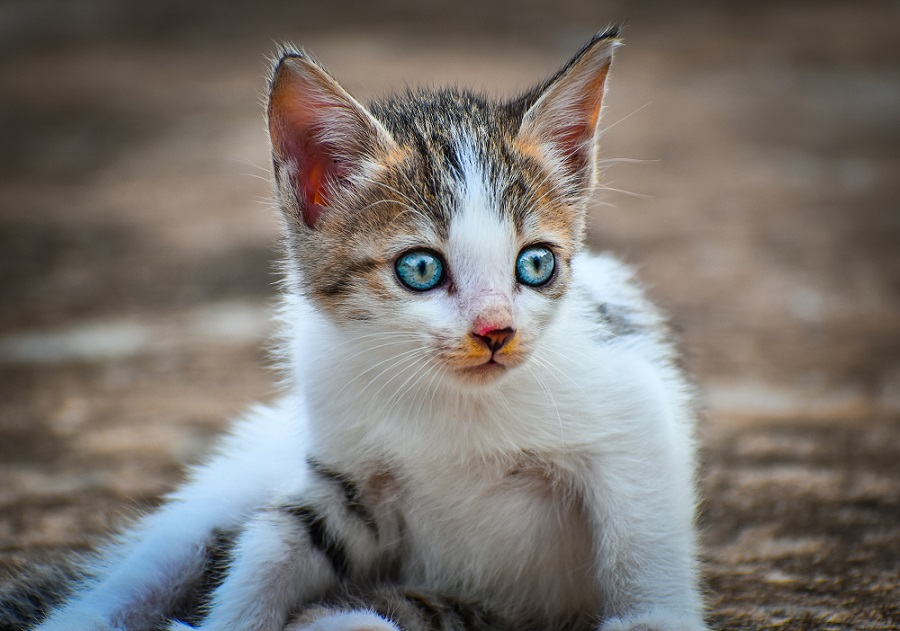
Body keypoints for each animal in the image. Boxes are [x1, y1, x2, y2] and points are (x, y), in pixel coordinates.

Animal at [10, 25, 708, 631]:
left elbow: (643, 528)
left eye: (535, 264)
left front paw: (653, 618)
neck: (452, 403)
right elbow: (275, 543)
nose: (495, 331)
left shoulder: (631, 399)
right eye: (420, 269)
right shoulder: (345, 477)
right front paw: (235, 620)